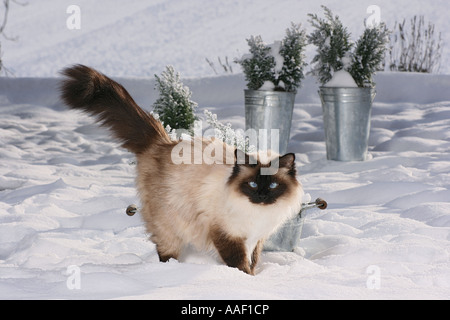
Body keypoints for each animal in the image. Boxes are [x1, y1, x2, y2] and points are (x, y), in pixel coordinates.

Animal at [59, 65, 302, 276]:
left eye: (273, 185)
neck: (257, 213)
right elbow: (239, 264)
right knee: (165, 251)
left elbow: (253, 261)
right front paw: (244, 279)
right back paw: (172, 271)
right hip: (169, 226)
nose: (261, 196)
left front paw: (254, 276)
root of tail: (162, 142)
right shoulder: (228, 234)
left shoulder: (255, 239)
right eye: (252, 184)